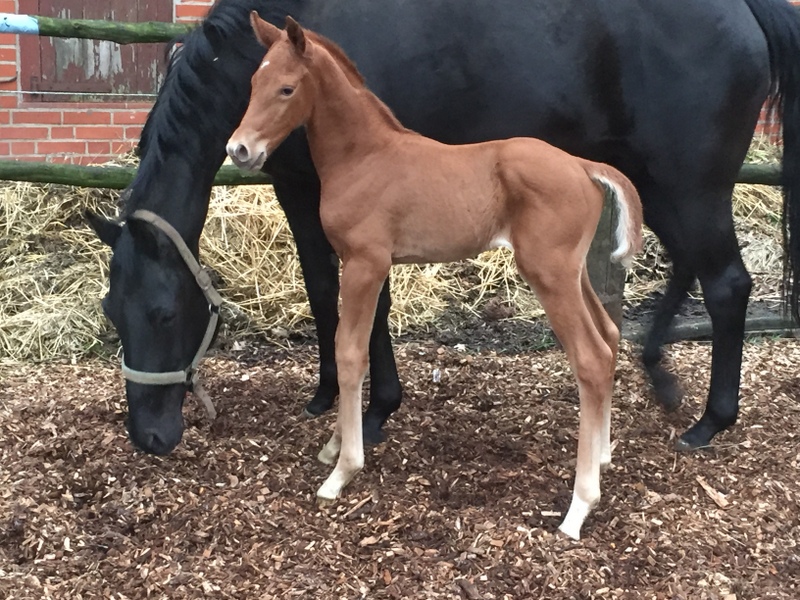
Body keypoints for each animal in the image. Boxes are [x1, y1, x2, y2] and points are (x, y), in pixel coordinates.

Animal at [87, 0, 800, 454]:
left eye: (162, 313)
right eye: (112, 313)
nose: (148, 437)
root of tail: (745, 9)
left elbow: (365, 304)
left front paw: (377, 409)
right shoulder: (298, 189)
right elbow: (321, 289)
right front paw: (326, 394)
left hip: (690, 184)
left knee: (727, 282)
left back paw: (710, 422)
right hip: (654, 180)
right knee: (688, 267)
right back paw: (659, 372)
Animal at [227, 15, 644, 540]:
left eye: (286, 88)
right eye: (252, 83)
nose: (239, 149)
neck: (364, 156)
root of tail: (582, 165)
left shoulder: (365, 263)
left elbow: (349, 353)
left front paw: (342, 471)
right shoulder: (370, 266)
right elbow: (359, 346)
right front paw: (335, 445)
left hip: (549, 273)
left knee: (590, 358)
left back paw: (579, 507)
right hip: (572, 272)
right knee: (609, 338)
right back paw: (604, 457)